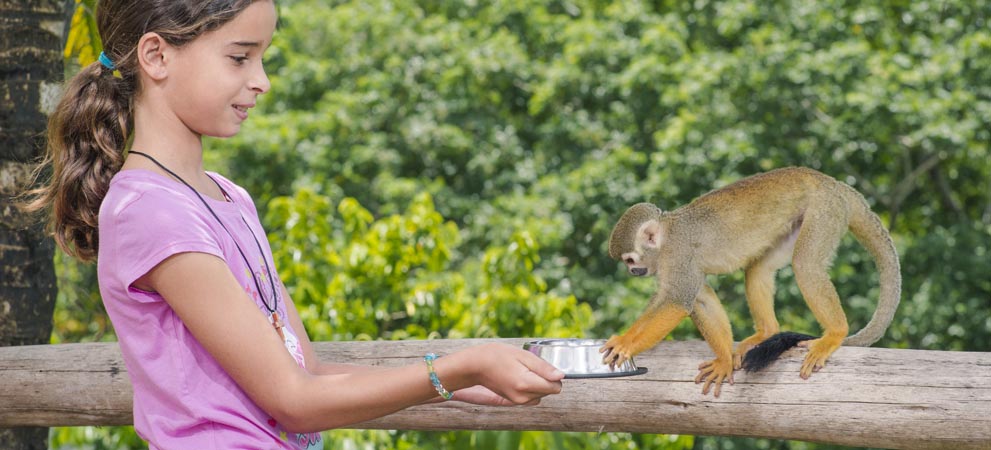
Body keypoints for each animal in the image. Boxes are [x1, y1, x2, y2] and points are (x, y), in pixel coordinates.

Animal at [600, 167, 904, 396]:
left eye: (629, 260)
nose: (633, 272)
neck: (665, 240)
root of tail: (834, 183)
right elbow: (700, 298)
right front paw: (723, 361)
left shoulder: (679, 255)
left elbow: (677, 302)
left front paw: (626, 344)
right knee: (758, 268)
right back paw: (767, 331)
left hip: (825, 211)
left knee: (805, 265)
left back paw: (835, 334)